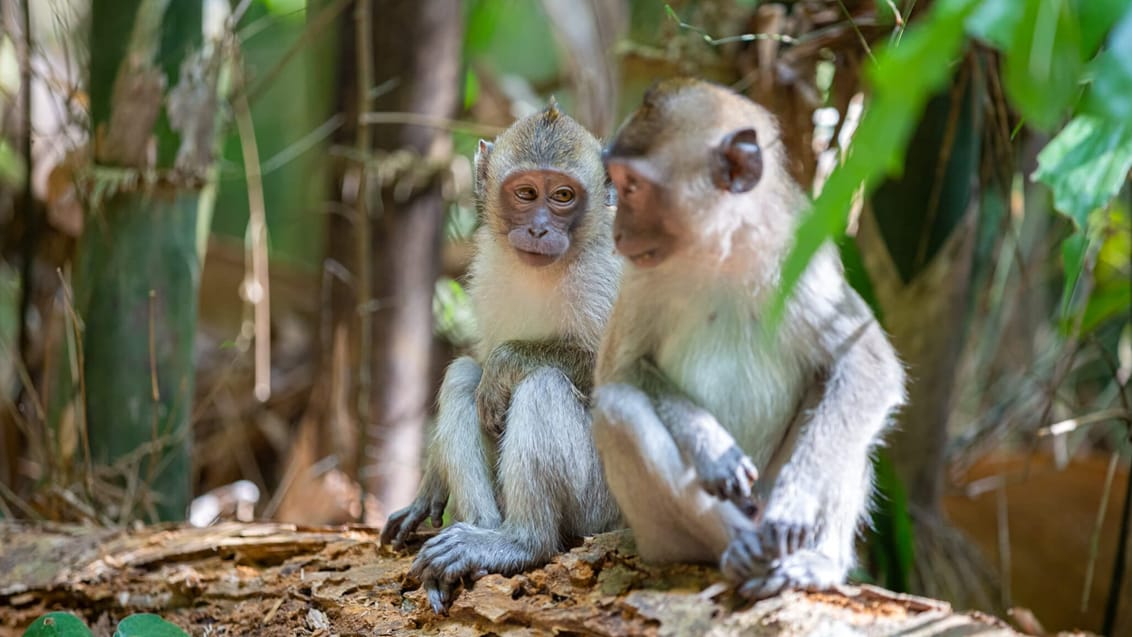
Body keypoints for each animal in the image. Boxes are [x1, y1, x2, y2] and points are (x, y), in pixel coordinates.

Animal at [384, 102, 624, 615]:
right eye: (526, 193)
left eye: (563, 196)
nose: (538, 228)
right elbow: (478, 361)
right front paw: (431, 485)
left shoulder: (612, 276)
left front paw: (510, 360)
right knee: (463, 377)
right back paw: (477, 535)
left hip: (605, 505)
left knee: (542, 385)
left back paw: (520, 542)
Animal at [593, 78, 901, 597]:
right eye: (617, 181)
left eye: (632, 186)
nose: (617, 232)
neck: (722, 249)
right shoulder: (638, 279)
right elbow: (619, 371)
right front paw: (711, 447)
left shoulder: (804, 258)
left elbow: (866, 364)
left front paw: (798, 501)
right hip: (657, 535)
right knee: (618, 410)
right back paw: (742, 547)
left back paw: (817, 561)